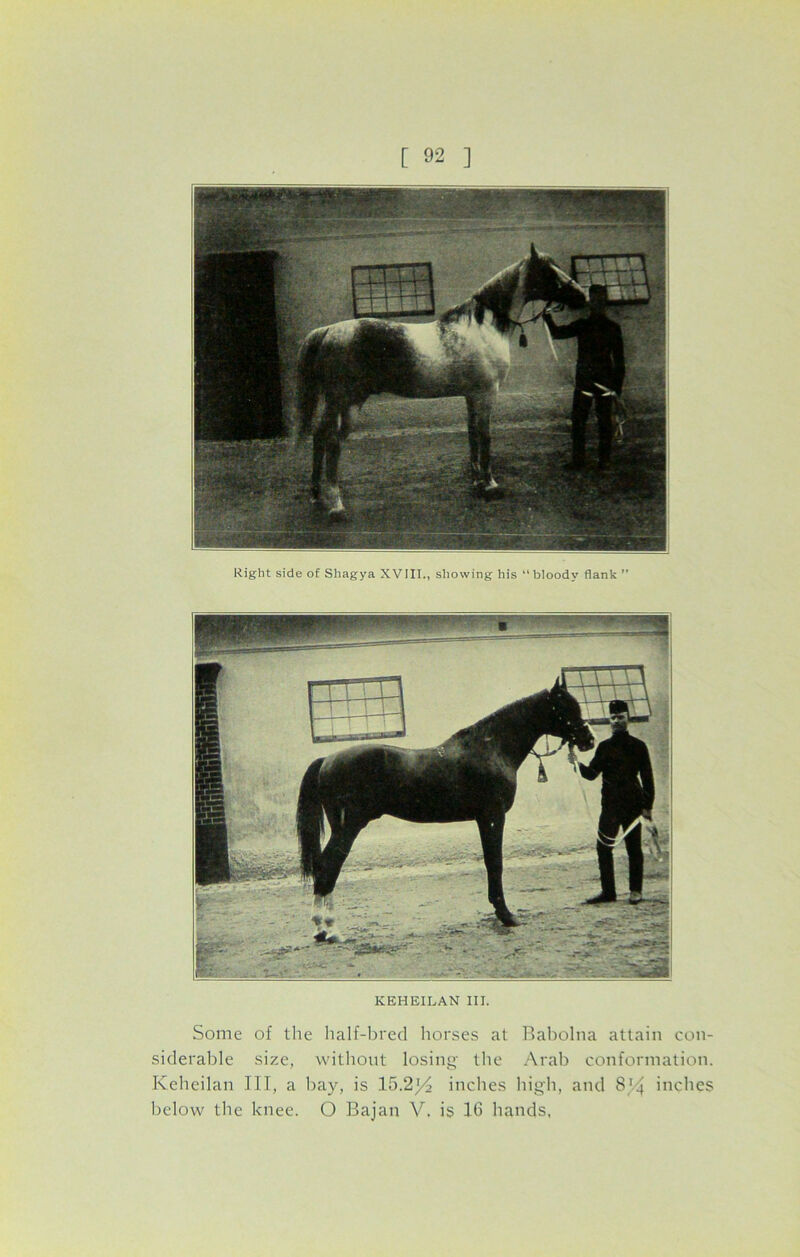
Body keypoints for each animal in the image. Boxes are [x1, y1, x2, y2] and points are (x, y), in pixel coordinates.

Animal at [295, 242, 587, 520]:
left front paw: (477, 482)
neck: (484, 326)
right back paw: (336, 506)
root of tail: (328, 331)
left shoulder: (471, 396)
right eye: (548, 271)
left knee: (319, 436)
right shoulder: (486, 394)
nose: (582, 295)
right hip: (347, 402)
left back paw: (316, 494)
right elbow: (485, 436)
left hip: (337, 403)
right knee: (332, 442)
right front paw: (491, 484)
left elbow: (472, 434)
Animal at [296, 677, 595, 942]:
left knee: (324, 867)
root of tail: (327, 759)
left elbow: (490, 861)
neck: (491, 749)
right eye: (565, 707)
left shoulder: (483, 818)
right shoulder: (493, 816)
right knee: (329, 867)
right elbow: (495, 862)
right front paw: (506, 915)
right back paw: (330, 928)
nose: (588, 739)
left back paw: (320, 929)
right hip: (349, 827)